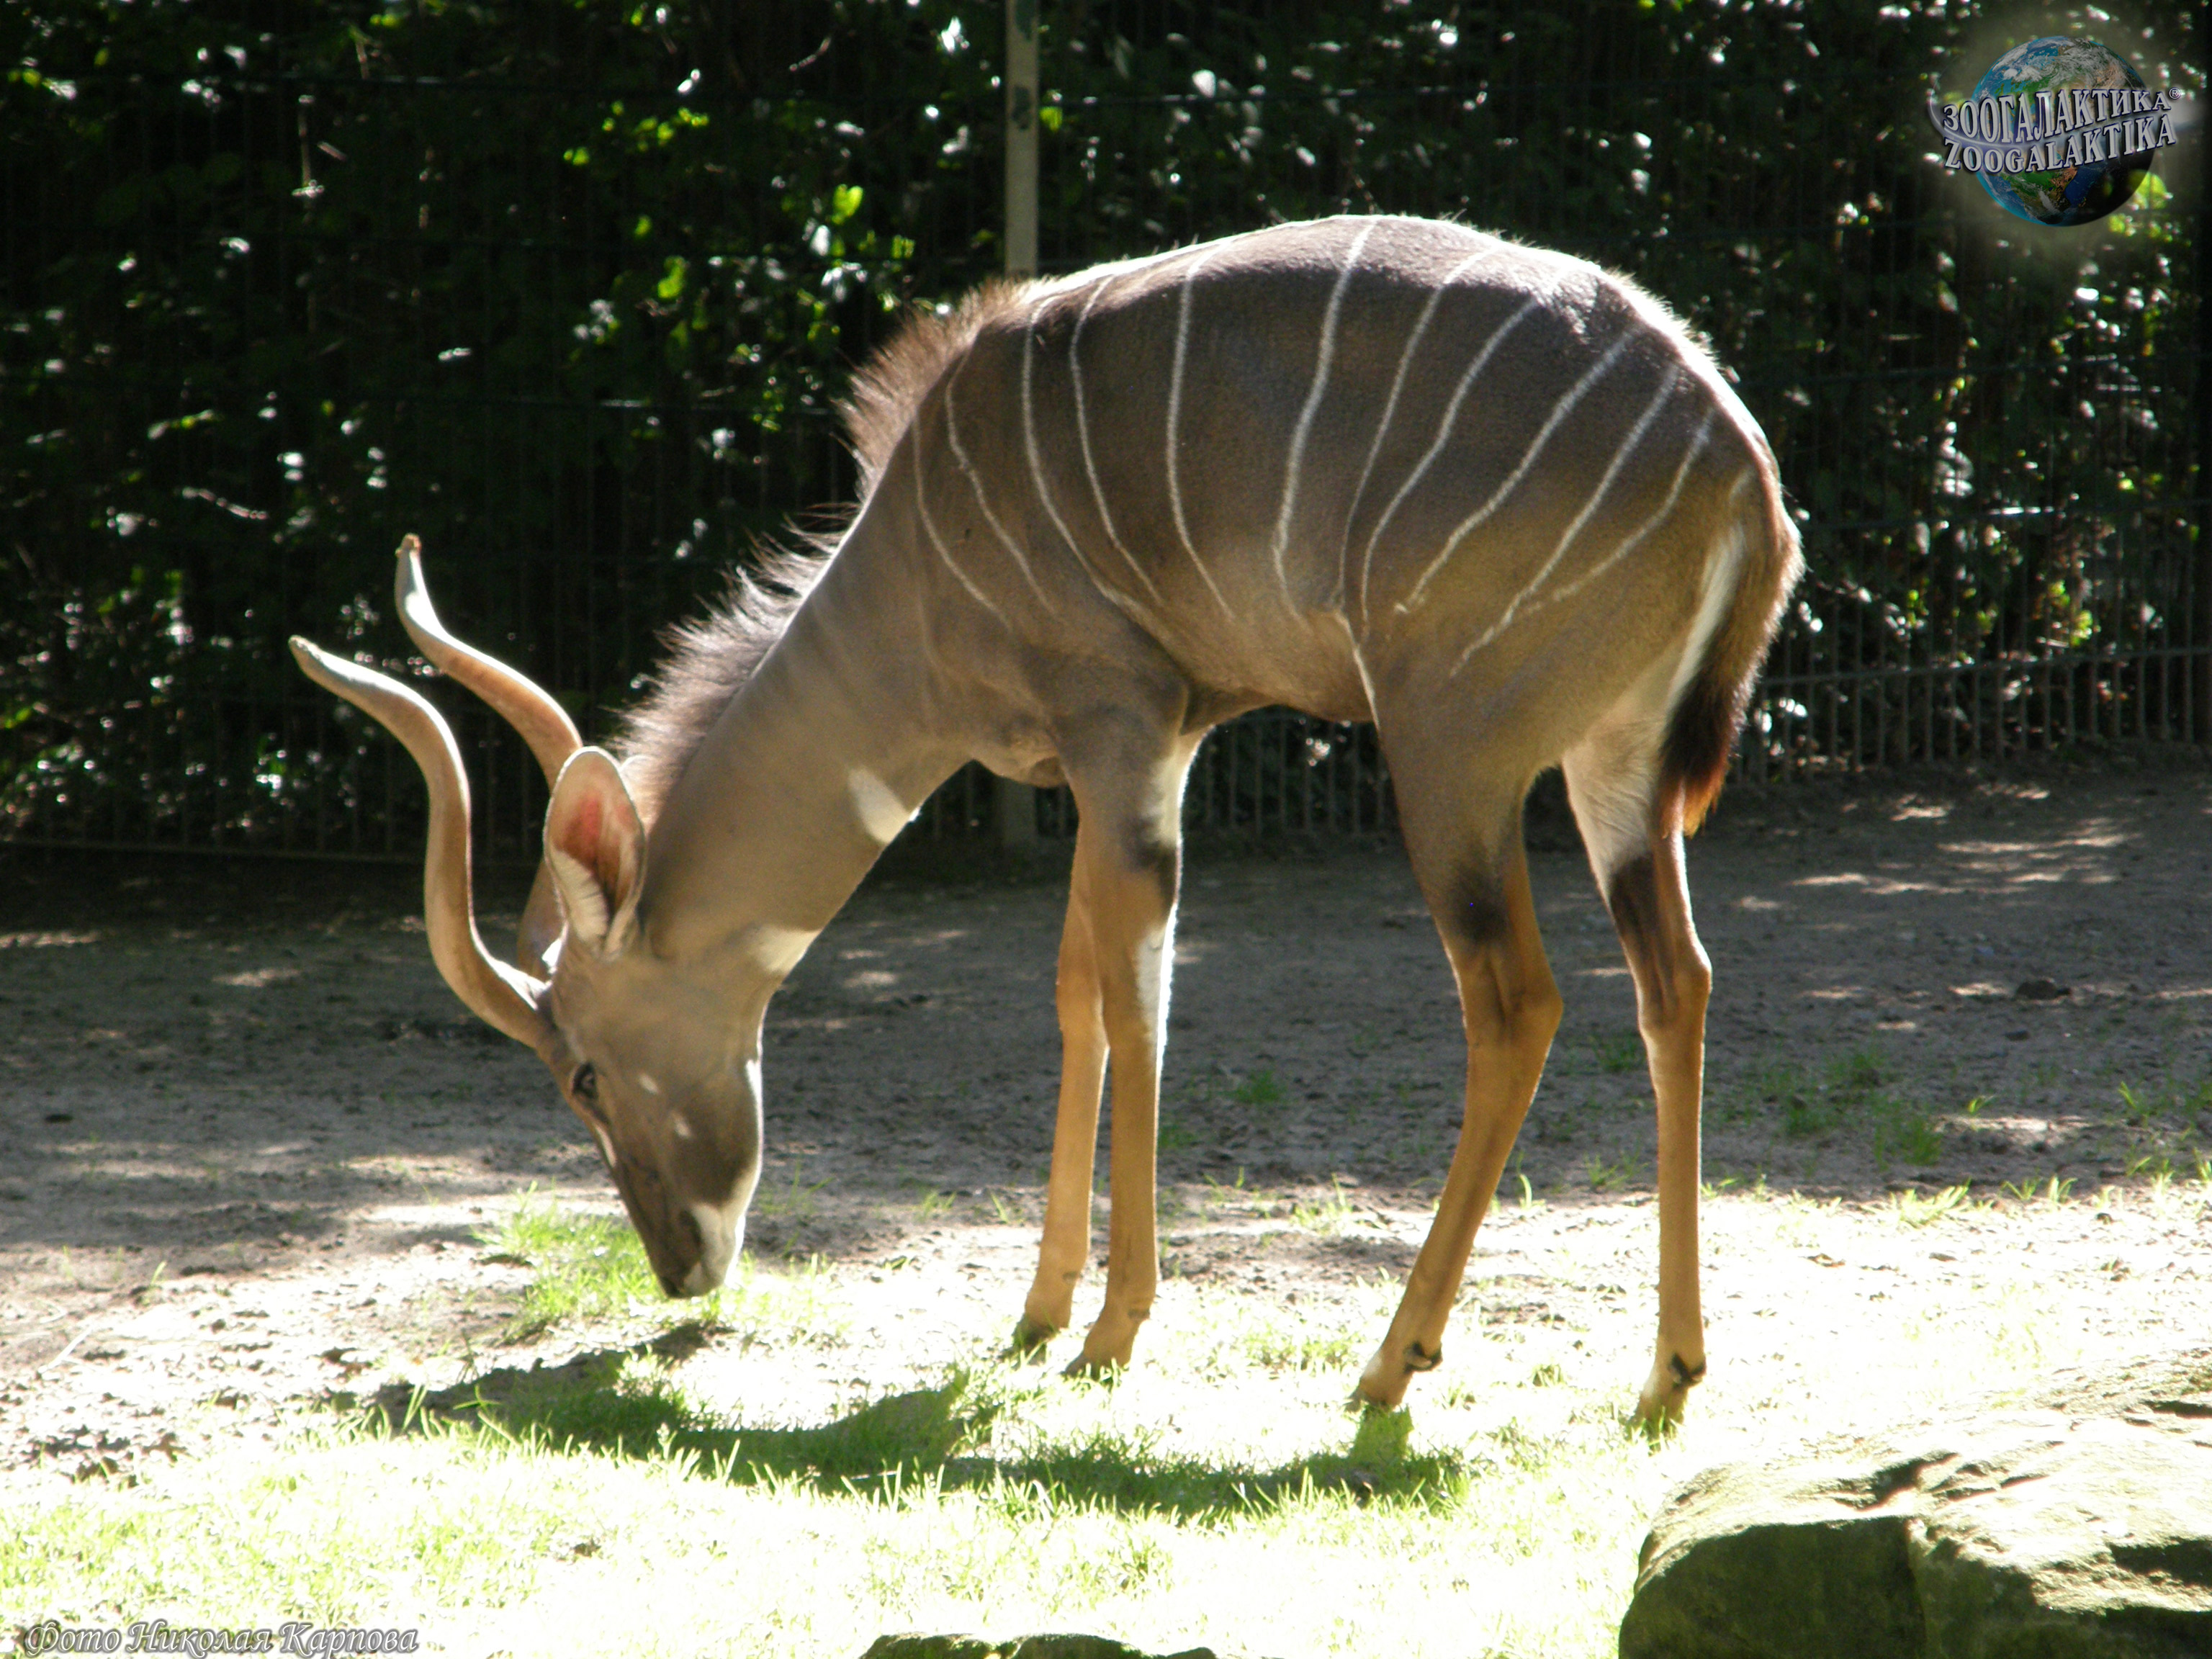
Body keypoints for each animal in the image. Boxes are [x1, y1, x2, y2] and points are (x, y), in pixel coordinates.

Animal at [294, 215, 1799, 1426]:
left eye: (585, 1076)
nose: (680, 1266)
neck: (915, 567)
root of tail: (1737, 465)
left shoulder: (1121, 723)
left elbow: (1138, 998)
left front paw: (1111, 1332)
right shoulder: (1127, 756)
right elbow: (1078, 986)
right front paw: (1037, 1307)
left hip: (1451, 754)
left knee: (1516, 1001)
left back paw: (1389, 1362)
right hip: (1614, 774)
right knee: (1677, 982)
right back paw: (1667, 1373)